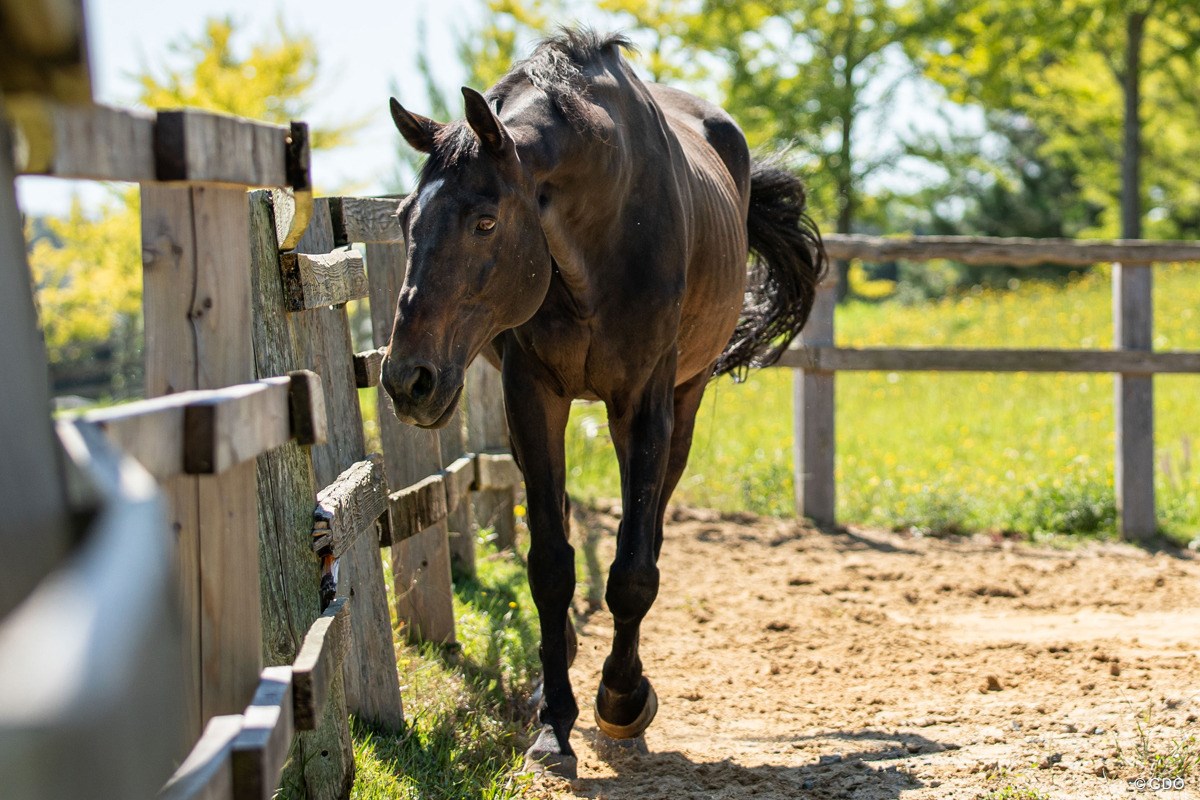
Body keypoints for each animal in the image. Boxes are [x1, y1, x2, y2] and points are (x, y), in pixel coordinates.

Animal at [384, 29, 825, 777]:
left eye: (484, 221)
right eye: (404, 218)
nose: (406, 378)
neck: (604, 226)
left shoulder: (644, 401)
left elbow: (633, 570)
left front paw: (622, 699)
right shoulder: (532, 395)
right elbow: (550, 565)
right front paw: (553, 721)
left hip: (684, 401)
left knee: (649, 530)